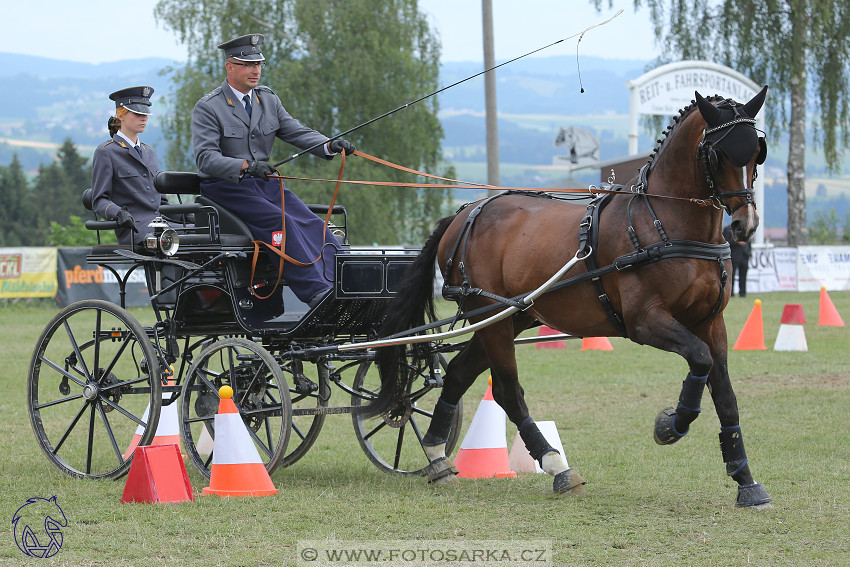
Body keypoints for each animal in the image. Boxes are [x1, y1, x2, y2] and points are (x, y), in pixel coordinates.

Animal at [370, 86, 768, 508]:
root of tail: (463, 214)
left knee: (459, 374)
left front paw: (745, 480)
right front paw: (670, 424)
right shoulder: (645, 322)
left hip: (507, 317)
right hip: (490, 318)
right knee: (507, 392)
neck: (665, 224)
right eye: (719, 153)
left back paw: (437, 456)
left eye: (757, 152)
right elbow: (700, 359)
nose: (744, 225)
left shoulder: (711, 322)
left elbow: (724, 392)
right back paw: (556, 466)